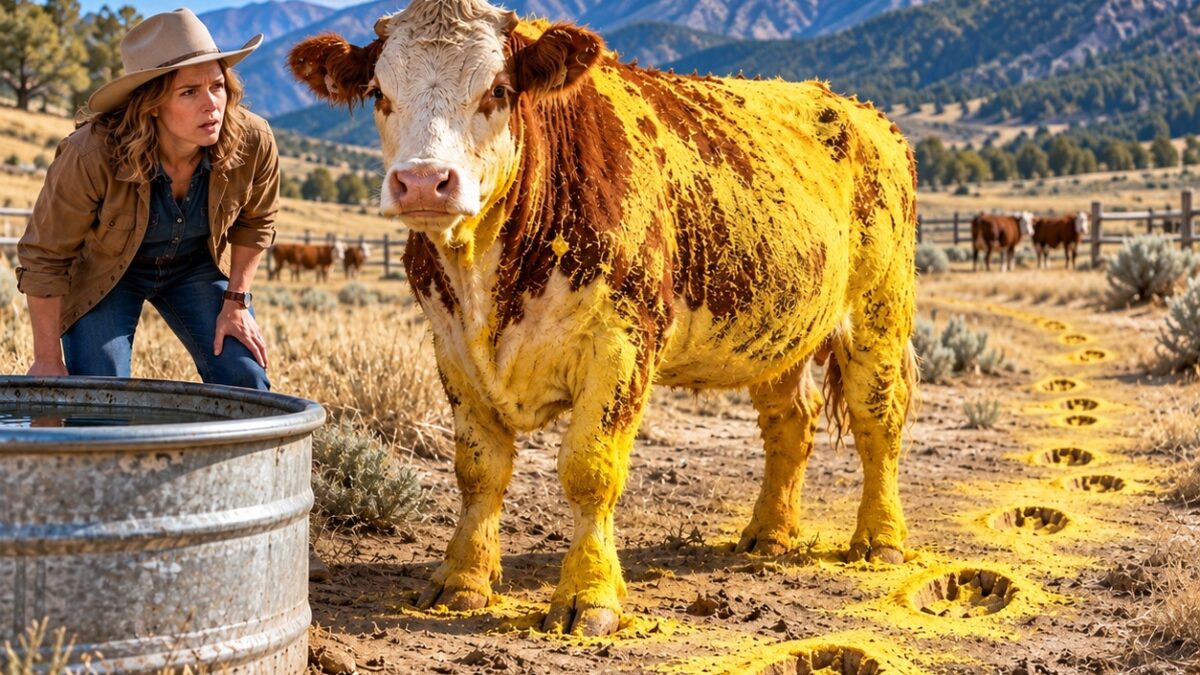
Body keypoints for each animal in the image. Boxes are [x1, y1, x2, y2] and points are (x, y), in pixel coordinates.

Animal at [289, 0, 918, 636]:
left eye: (498, 89)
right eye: (379, 91)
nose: (423, 182)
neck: (488, 282)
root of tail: (861, 112)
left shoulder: (621, 345)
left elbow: (590, 468)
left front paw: (588, 594)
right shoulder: (452, 349)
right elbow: (477, 469)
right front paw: (462, 580)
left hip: (879, 312)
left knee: (878, 420)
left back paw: (880, 539)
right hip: (778, 332)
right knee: (790, 422)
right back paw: (770, 534)